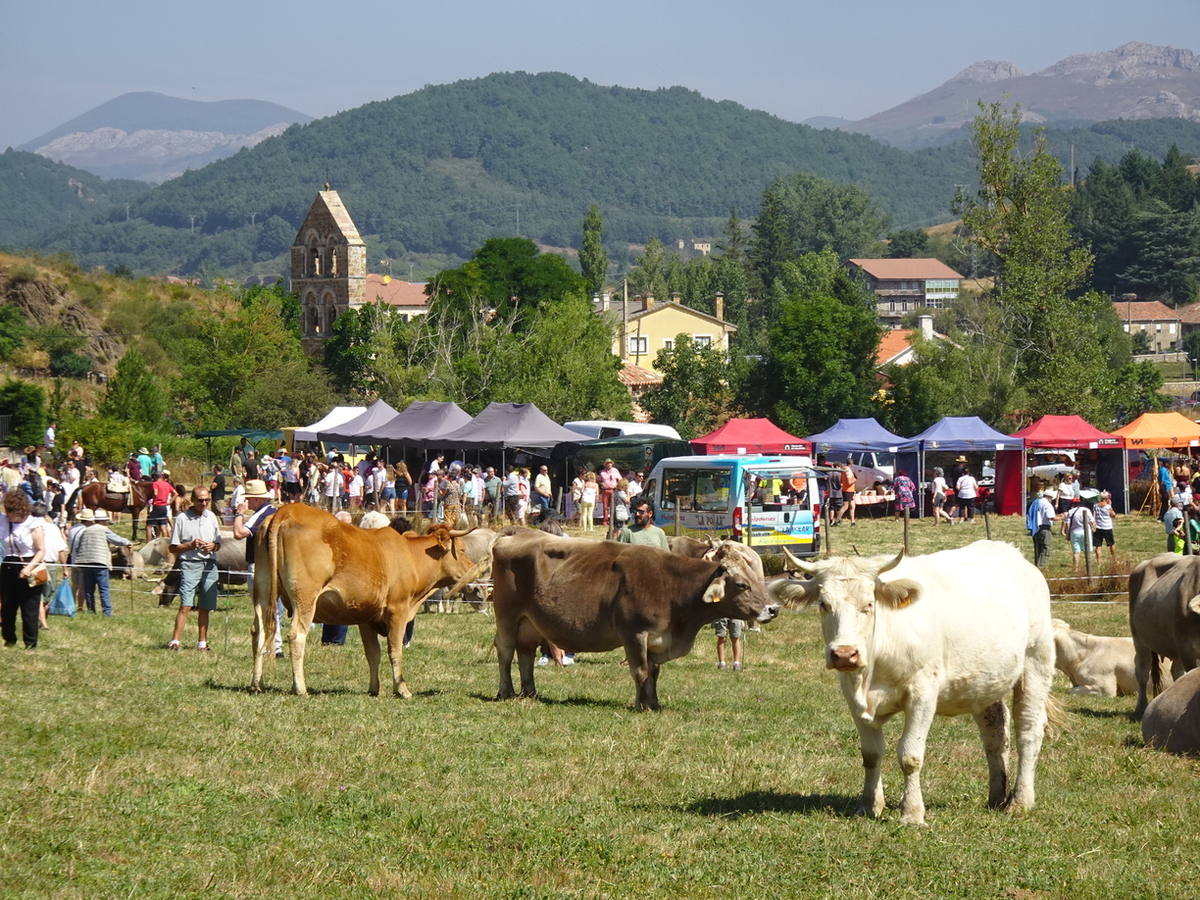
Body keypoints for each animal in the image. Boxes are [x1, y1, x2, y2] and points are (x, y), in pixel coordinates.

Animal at [250, 504, 480, 700]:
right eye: (461, 550)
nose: (474, 571)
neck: (410, 556)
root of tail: (289, 509)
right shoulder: (397, 611)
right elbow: (394, 650)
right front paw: (402, 689)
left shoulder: (366, 617)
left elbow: (373, 653)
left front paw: (374, 688)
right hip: (305, 597)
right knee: (297, 635)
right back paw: (300, 687)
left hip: (263, 592)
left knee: (259, 631)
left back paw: (257, 684)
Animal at [492, 528, 782, 710]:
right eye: (742, 585)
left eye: (756, 577)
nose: (773, 608)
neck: (673, 587)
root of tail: (521, 532)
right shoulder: (634, 634)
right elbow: (640, 671)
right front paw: (639, 705)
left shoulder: (656, 639)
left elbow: (654, 673)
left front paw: (653, 703)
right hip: (506, 614)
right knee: (505, 650)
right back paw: (505, 691)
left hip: (529, 623)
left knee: (526, 653)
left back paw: (530, 693)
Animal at [768, 540, 1060, 830]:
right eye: (823, 604)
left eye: (869, 604)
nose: (844, 654)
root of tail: (1010, 551)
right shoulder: (852, 695)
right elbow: (871, 754)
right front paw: (869, 806)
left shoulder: (923, 693)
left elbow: (910, 756)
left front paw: (912, 813)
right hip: (984, 681)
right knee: (996, 732)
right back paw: (997, 797)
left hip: (1036, 661)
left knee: (1028, 730)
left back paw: (1020, 801)